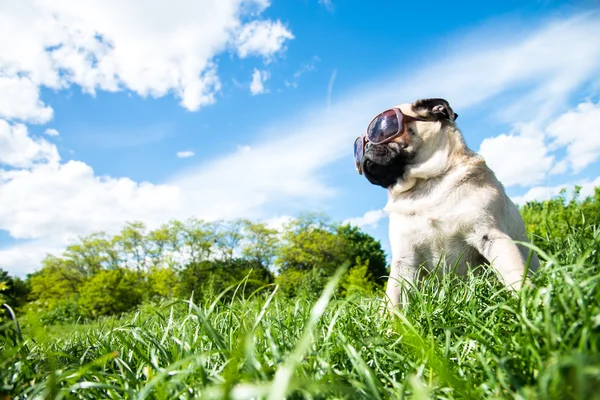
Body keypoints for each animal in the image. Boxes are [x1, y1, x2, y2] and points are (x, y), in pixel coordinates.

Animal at [354, 98, 540, 308]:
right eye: (358, 147)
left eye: (383, 130)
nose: (366, 147)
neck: (425, 187)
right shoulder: (404, 259)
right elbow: (394, 301)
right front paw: (392, 319)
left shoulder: (491, 235)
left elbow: (515, 274)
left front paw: (528, 305)